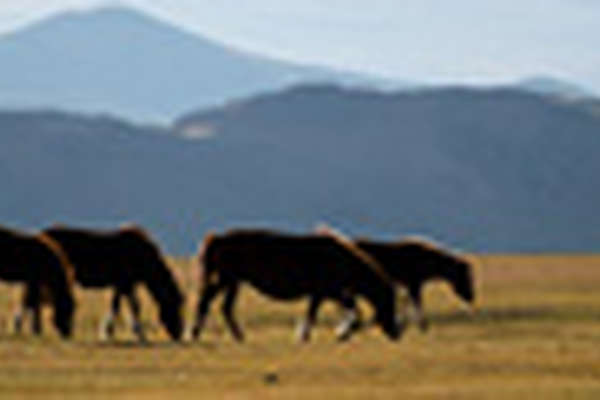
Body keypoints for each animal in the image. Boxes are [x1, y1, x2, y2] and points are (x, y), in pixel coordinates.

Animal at [41, 225, 184, 340]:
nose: (179, 334)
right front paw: (136, 333)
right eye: (175, 307)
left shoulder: (121, 285)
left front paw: (108, 331)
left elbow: (117, 305)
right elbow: (131, 306)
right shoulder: (125, 284)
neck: (141, 254)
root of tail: (42, 234)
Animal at [192, 230, 404, 342]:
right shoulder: (331, 291)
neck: (341, 259)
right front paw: (342, 332)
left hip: (233, 282)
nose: (396, 334)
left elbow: (312, 312)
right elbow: (353, 310)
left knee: (225, 307)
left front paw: (304, 335)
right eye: (390, 303)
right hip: (226, 279)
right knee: (206, 302)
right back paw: (195, 334)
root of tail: (217, 238)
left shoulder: (320, 293)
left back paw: (238, 336)